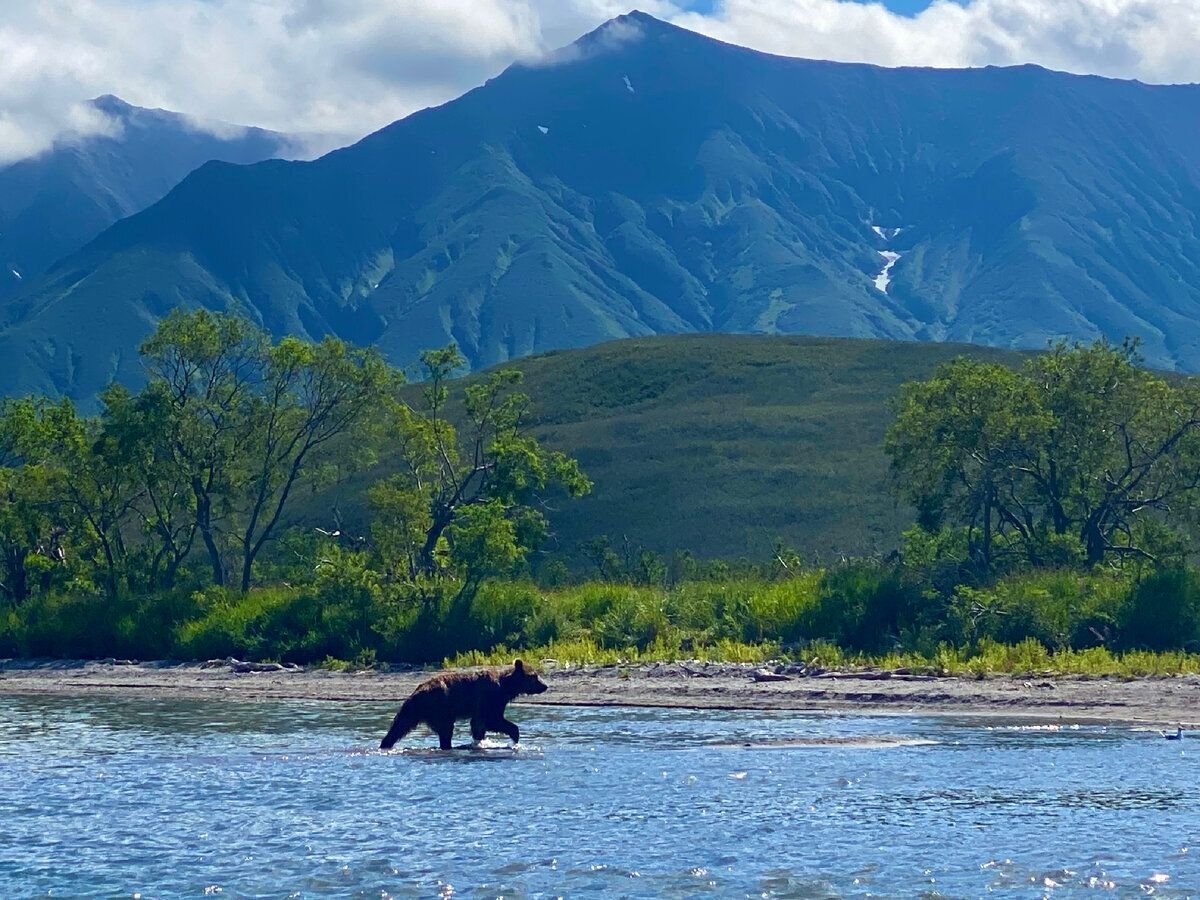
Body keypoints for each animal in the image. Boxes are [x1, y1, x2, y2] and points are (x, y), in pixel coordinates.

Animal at [376, 657, 549, 748]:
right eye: (534, 676)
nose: (545, 685)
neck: (506, 687)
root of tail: (416, 693)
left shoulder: (496, 702)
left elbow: (487, 722)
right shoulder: (490, 698)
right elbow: (490, 720)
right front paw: (514, 737)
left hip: (414, 711)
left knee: (399, 727)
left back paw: (385, 744)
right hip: (439, 707)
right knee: (446, 730)